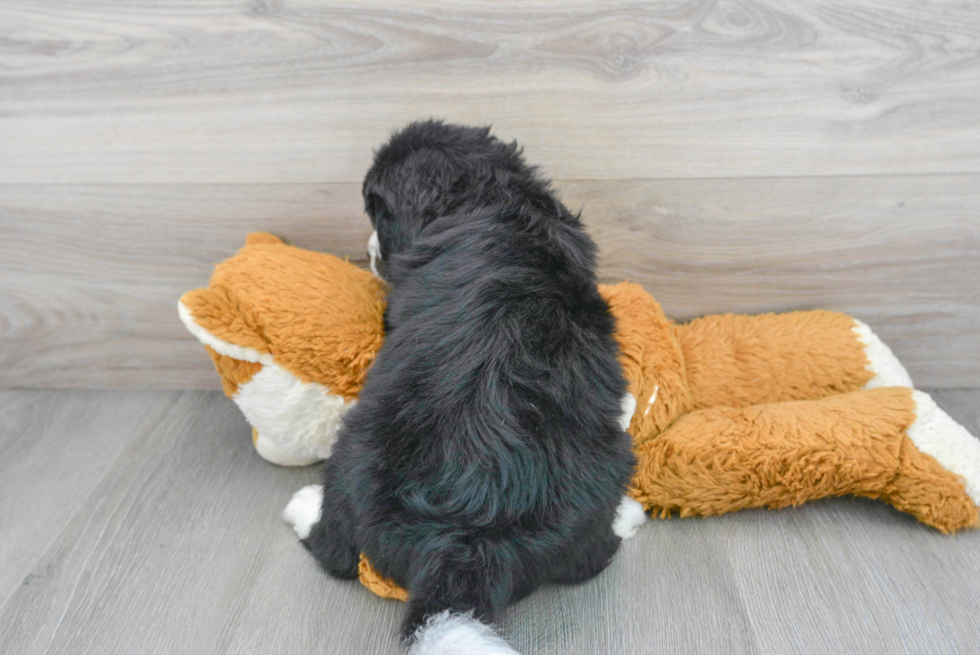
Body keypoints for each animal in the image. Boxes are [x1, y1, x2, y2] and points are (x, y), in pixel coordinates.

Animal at [286, 120, 644, 652]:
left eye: (376, 211)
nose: (368, 252)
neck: (486, 197)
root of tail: (464, 537)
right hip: (607, 466)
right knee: (588, 560)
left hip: (350, 455)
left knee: (336, 550)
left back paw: (304, 506)